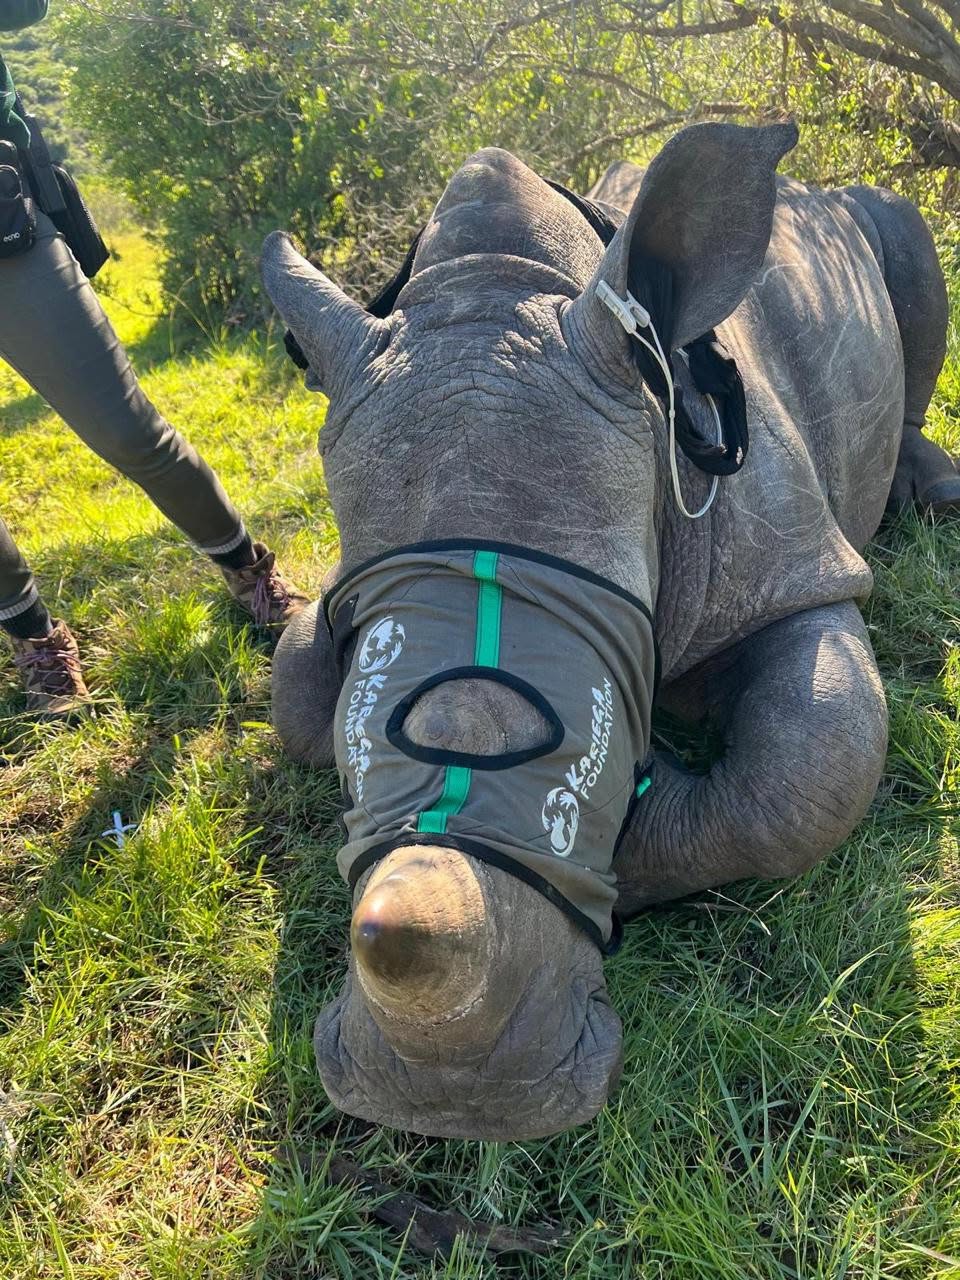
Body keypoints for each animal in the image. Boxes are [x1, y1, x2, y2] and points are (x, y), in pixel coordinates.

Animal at [261, 122, 958, 1142]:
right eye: (367, 746)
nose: (452, 1106)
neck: (496, 291)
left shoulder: (797, 570)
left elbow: (812, 764)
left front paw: (631, 843)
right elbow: (293, 684)